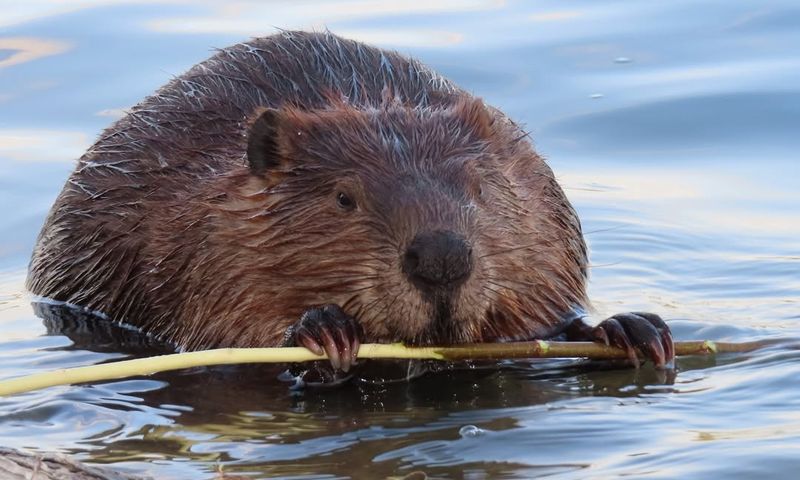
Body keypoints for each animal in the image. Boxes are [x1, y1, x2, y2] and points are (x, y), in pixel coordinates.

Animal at [26, 31, 676, 380]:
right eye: (343, 197)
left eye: (480, 188)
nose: (441, 258)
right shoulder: (195, 241)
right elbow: (226, 332)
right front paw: (324, 331)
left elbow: (543, 326)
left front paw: (631, 329)